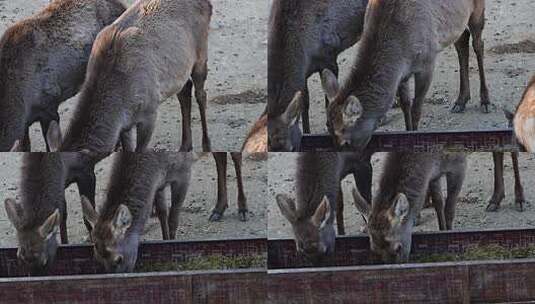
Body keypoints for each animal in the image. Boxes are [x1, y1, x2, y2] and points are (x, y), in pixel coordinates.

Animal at [48, 0, 211, 152]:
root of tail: (208, 4)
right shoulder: (124, 126)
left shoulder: (150, 111)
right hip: (179, 69)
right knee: (185, 90)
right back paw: (185, 145)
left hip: (201, 52)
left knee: (201, 94)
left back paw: (206, 144)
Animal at [326, 0, 490, 151]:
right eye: (328, 127)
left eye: (346, 142)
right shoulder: (402, 74)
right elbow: (405, 105)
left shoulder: (427, 62)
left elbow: (416, 110)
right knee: (462, 40)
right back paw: (461, 101)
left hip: (478, 10)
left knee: (478, 44)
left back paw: (485, 101)